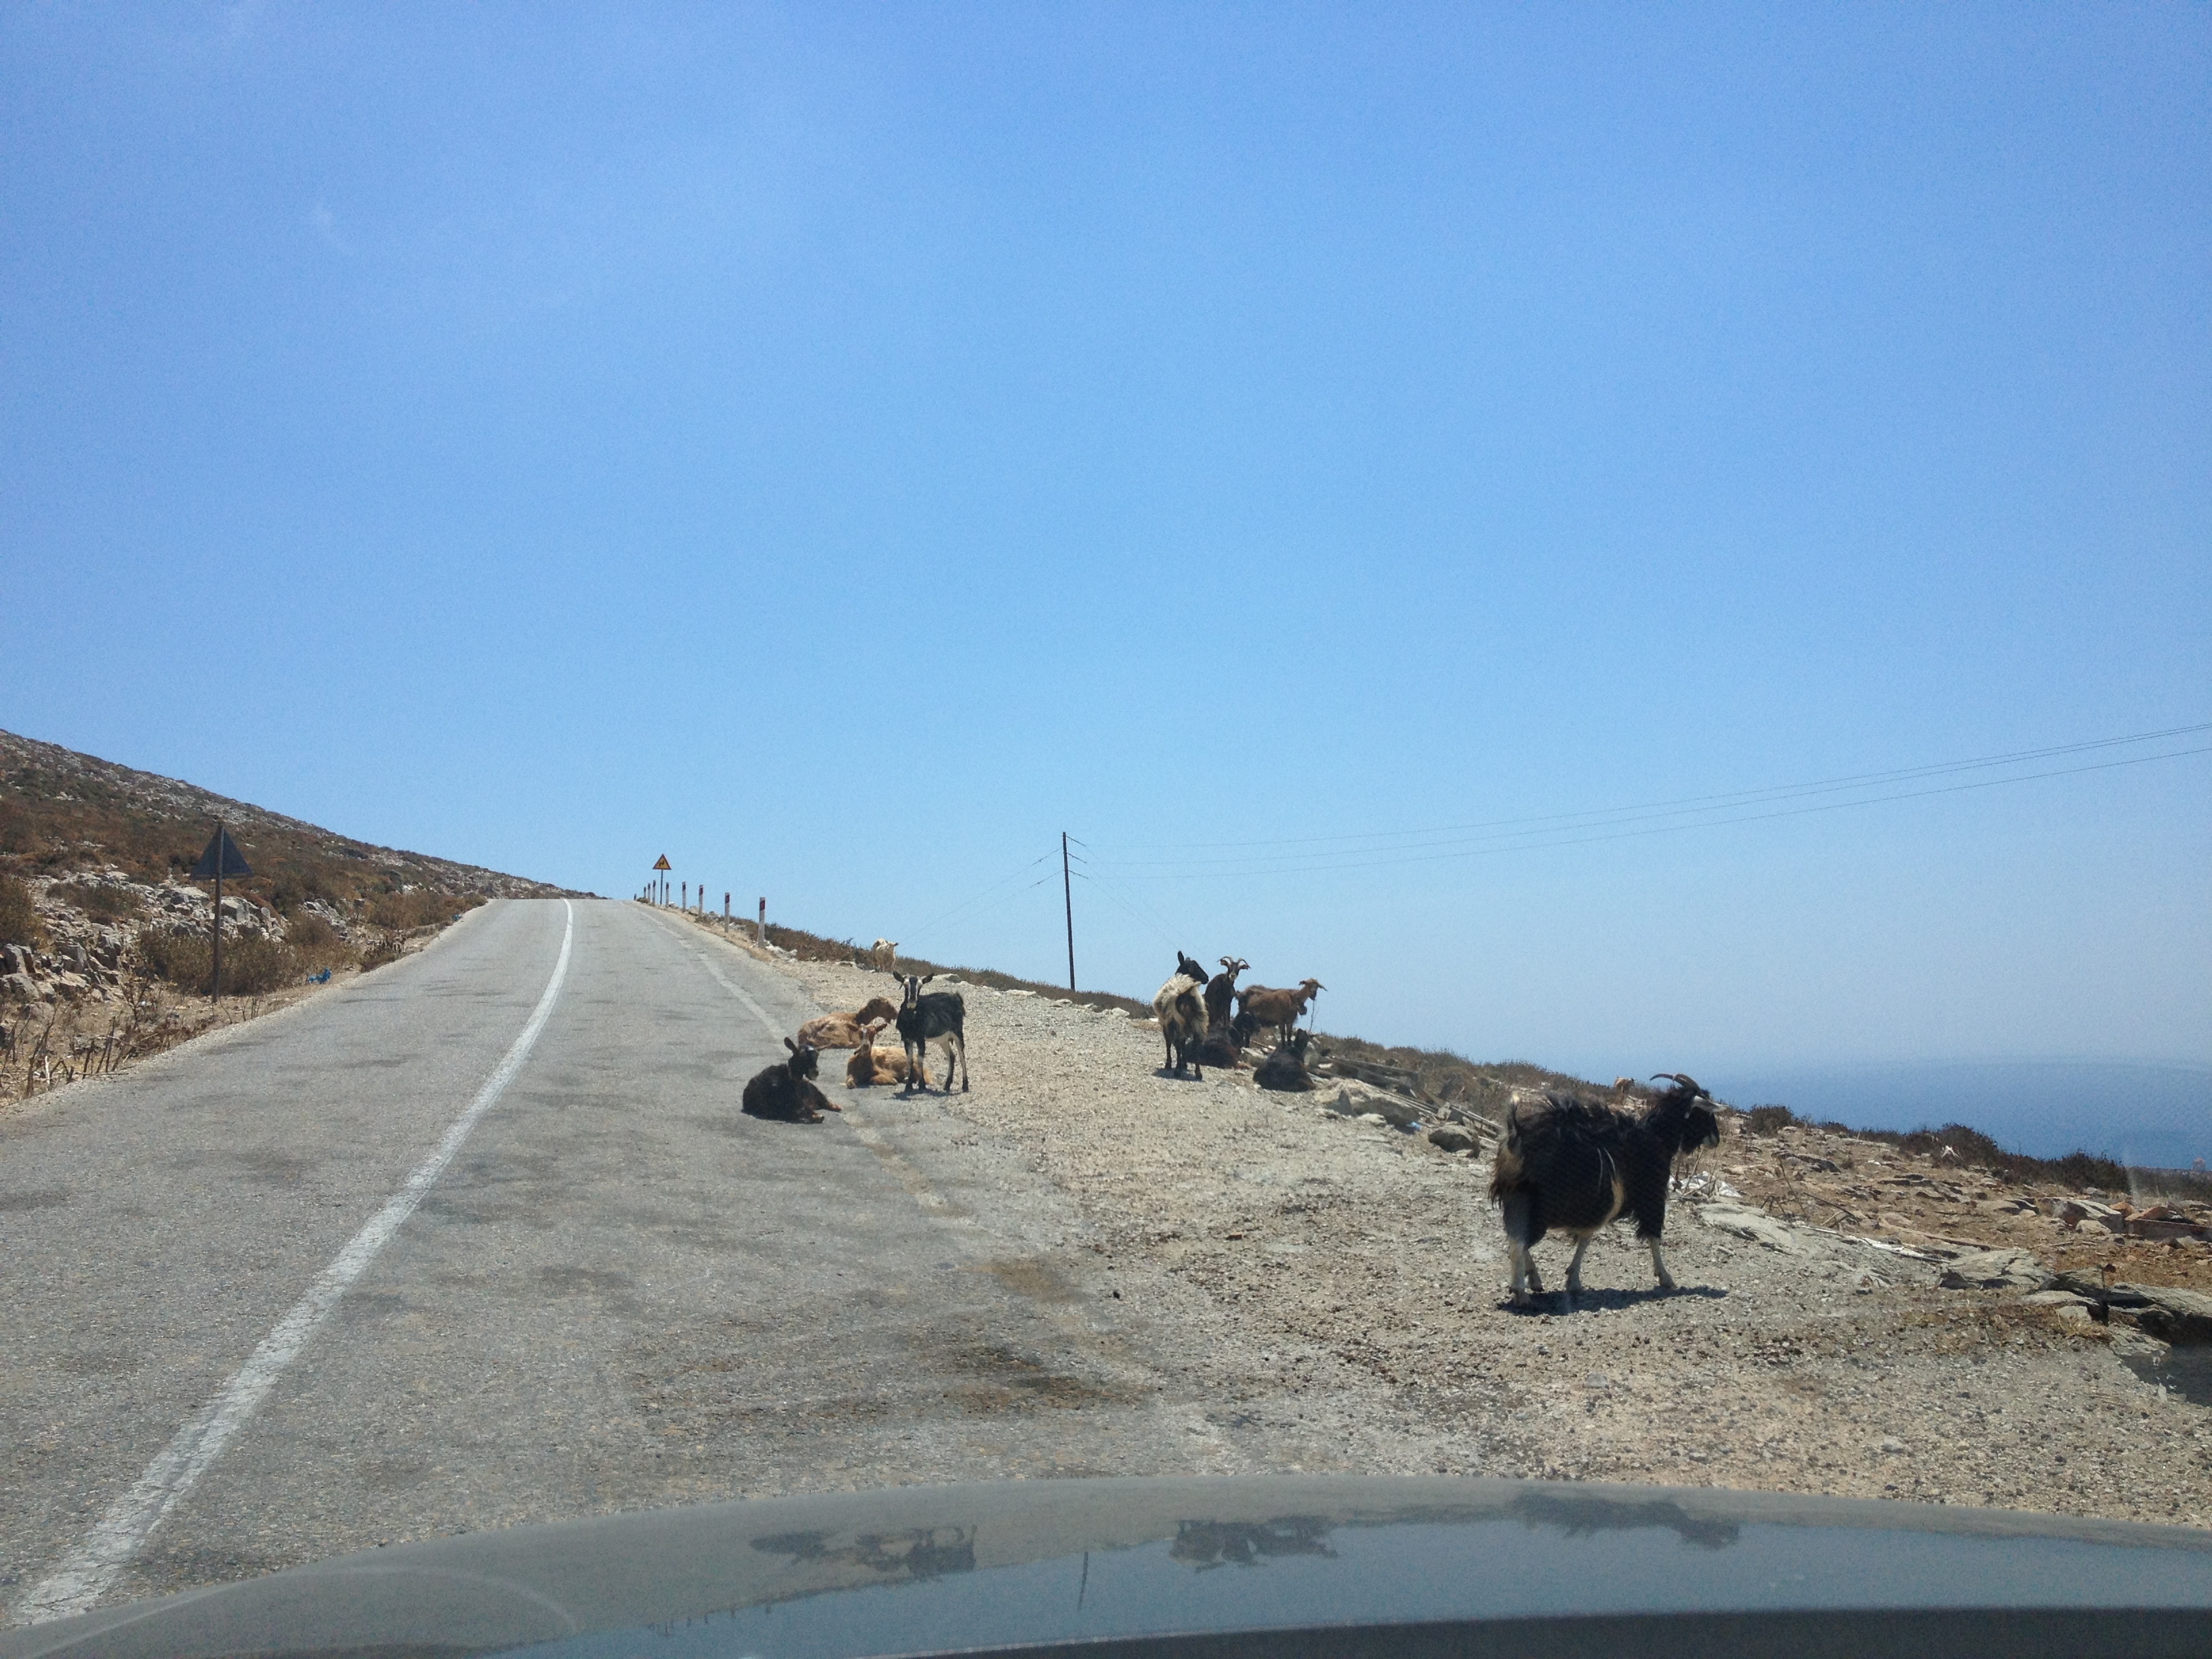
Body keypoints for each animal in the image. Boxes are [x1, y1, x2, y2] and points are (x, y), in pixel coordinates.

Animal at [898, 968, 968, 1097]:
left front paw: (922, 1085)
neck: (911, 1018)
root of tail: (956, 997)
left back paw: (965, 1086)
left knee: (962, 1057)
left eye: (921, 986)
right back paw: (947, 1085)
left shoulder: (921, 1039)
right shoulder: (907, 1039)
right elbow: (910, 1060)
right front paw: (908, 1086)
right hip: (943, 1040)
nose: (912, 999)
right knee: (952, 1056)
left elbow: (920, 1060)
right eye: (905, 985)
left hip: (958, 1033)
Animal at [1486, 1079, 1725, 1309]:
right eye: (1704, 1113)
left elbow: (1586, 1238)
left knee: (1516, 1237)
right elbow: (1652, 1235)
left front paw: (1573, 1281)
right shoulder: (1650, 1196)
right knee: (1519, 1243)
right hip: (1541, 1205)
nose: (1716, 1139)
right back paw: (1522, 1293)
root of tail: (1517, 1136)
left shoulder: (1594, 1206)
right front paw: (1666, 1278)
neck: (1657, 1138)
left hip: (1517, 1196)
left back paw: (1533, 1281)